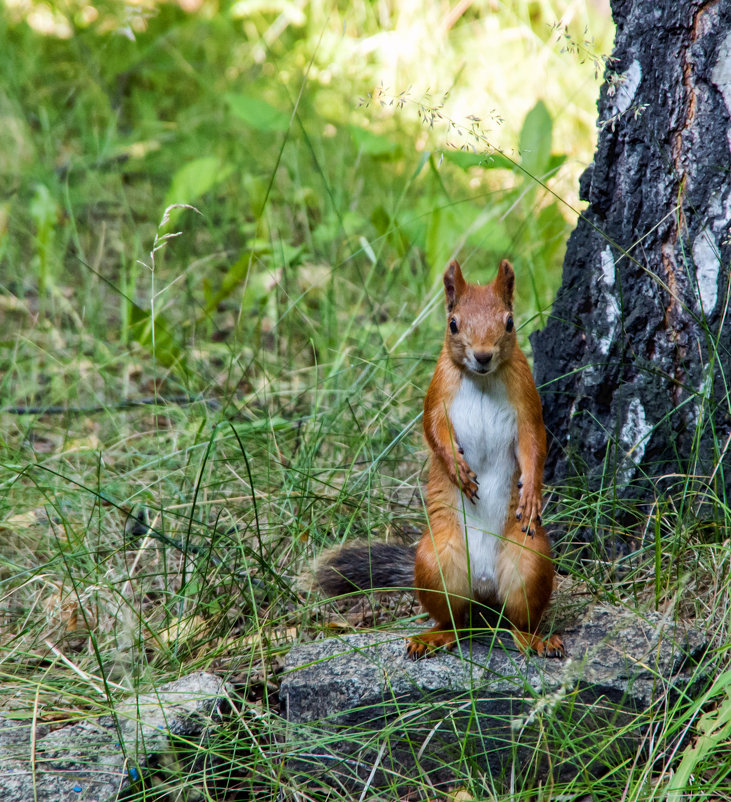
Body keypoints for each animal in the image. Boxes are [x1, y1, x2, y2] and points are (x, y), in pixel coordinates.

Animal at [316, 258, 568, 656]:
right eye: (453, 324)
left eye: (509, 322)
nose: (483, 355)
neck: (481, 379)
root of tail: (483, 590)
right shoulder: (437, 389)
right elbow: (432, 429)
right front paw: (458, 470)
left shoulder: (527, 397)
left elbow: (534, 443)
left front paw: (530, 493)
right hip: (437, 562)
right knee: (454, 620)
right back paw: (435, 636)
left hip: (529, 562)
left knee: (517, 620)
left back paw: (535, 639)